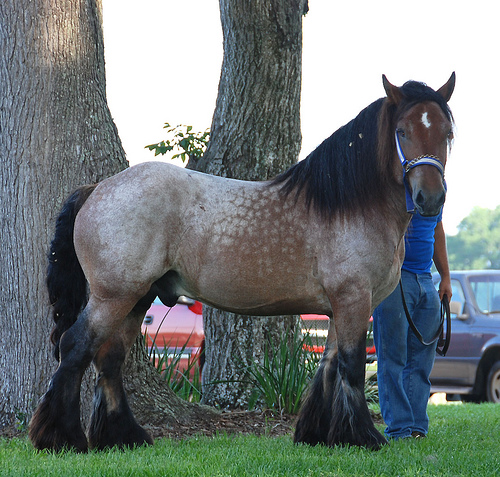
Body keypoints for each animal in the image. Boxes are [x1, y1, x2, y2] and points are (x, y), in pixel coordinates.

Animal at [29, 73, 456, 450]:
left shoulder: (339, 306)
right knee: (76, 346)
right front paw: (364, 437)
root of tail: (97, 189)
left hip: (136, 297)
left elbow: (329, 365)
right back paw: (62, 438)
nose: (430, 199)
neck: (348, 205)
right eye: (403, 131)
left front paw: (320, 435)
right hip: (114, 295)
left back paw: (123, 437)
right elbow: (351, 365)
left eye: (447, 134)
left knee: (109, 358)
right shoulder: (354, 299)